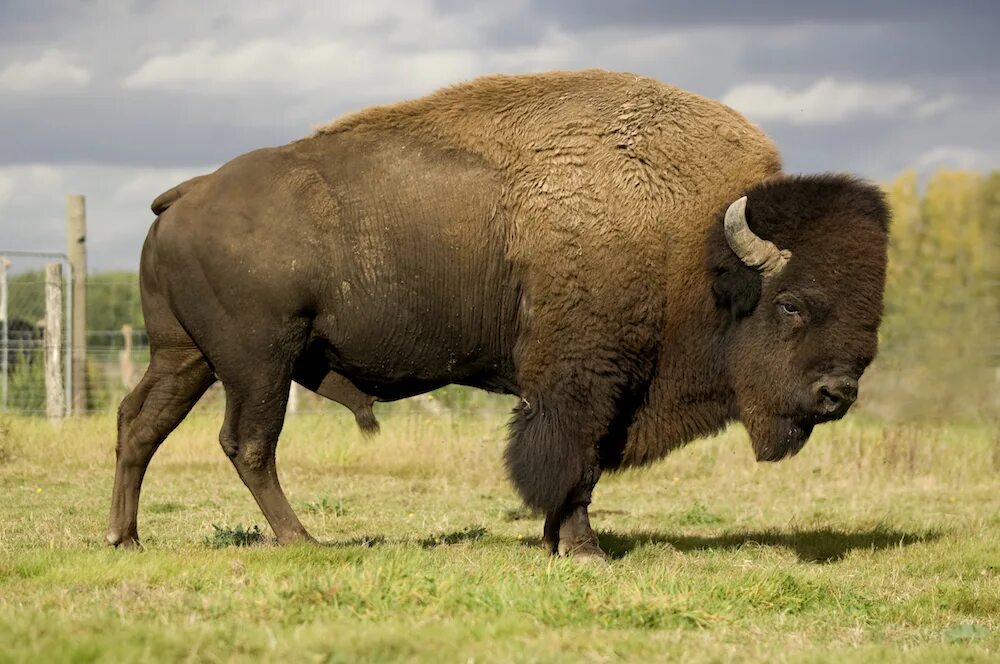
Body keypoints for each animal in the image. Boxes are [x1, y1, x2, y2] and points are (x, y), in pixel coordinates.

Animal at [109, 70, 892, 556]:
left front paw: (559, 543)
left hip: (185, 355)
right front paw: (583, 550)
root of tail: (188, 193)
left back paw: (125, 538)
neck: (693, 241)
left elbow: (582, 468)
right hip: (257, 360)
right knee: (247, 443)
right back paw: (301, 540)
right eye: (790, 304)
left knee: (141, 424)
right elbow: (571, 462)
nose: (838, 394)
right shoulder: (581, 385)